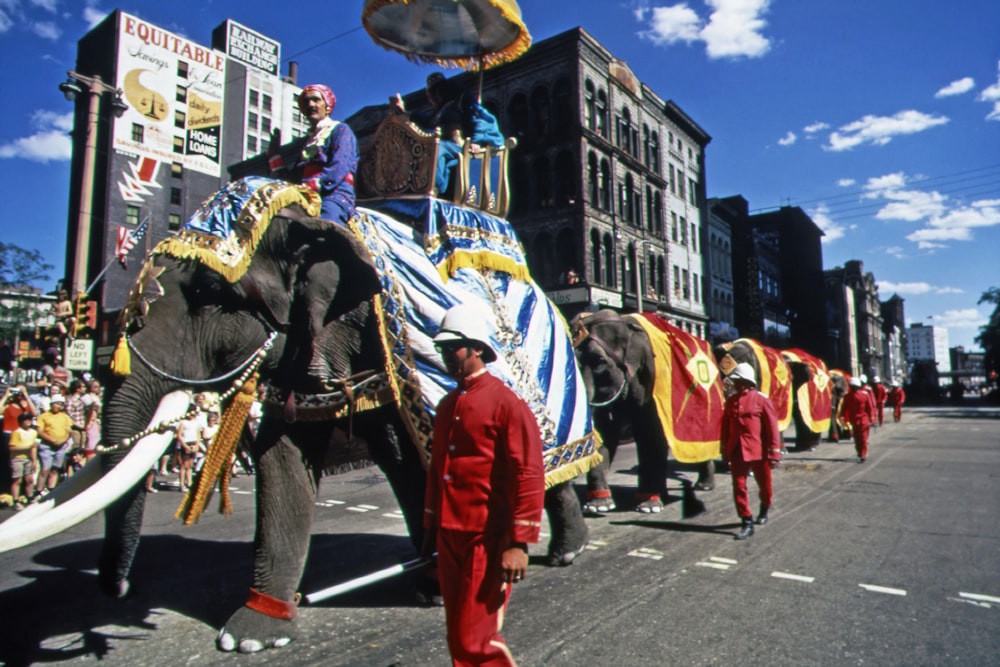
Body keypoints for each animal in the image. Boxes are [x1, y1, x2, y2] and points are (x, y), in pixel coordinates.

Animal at [0, 176, 592, 652]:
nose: (119, 589)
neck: (308, 217)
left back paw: (565, 553)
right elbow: (283, 464)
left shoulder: (379, 346)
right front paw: (254, 632)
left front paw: (433, 587)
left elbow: (406, 459)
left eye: (210, 292)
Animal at [568, 310, 724, 516]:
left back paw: (703, 486)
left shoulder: (651, 377)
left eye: (599, 362)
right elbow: (604, 434)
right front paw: (597, 505)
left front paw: (649, 507)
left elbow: (650, 434)